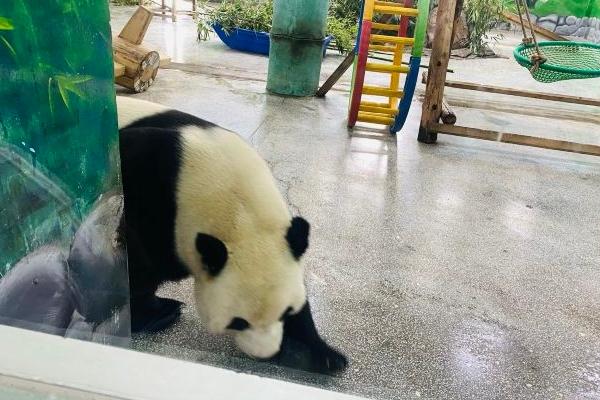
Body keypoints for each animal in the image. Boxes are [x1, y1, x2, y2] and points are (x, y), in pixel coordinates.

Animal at [116, 96, 346, 376]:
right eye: (239, 322)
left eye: (285, 313)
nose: (265, 354)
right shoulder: (149, 192)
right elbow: (138, 265)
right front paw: (151, 313)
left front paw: (325, 355)